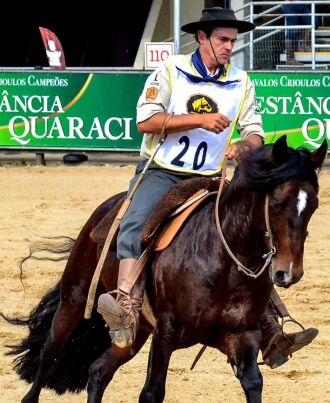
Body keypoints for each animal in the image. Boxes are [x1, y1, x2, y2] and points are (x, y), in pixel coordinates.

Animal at [5, 137, 328, 403]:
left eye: (313, 205)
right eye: (277, 203)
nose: (289, 273)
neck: (220, 261)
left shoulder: (242, 335)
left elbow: (253, 383)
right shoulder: (166, 333)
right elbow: (151, 393)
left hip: (133, 332)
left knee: (98, 371)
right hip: (74, 298)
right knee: (49, 355)